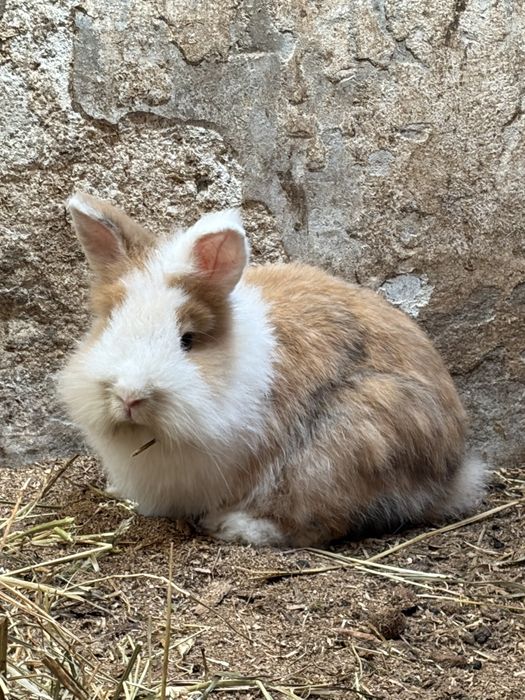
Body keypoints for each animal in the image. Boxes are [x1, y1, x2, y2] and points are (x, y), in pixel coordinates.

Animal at [58, 192, 487, 547]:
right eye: (108, 323)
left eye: (188, 340)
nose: (129, 396)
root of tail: (453, 470)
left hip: (342, 449)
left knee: (320, 521)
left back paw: (234, 526)